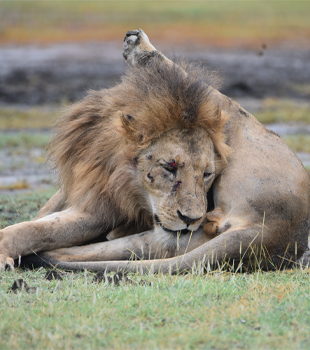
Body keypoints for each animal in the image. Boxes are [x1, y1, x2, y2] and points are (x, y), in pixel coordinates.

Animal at [0, 28, 308, 272]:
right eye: (169, 167)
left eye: (208, 175)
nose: (191, 219)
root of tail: (273, 232)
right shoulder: (82, 183)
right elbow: (44, 215)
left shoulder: (103, 208)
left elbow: (38, 229)